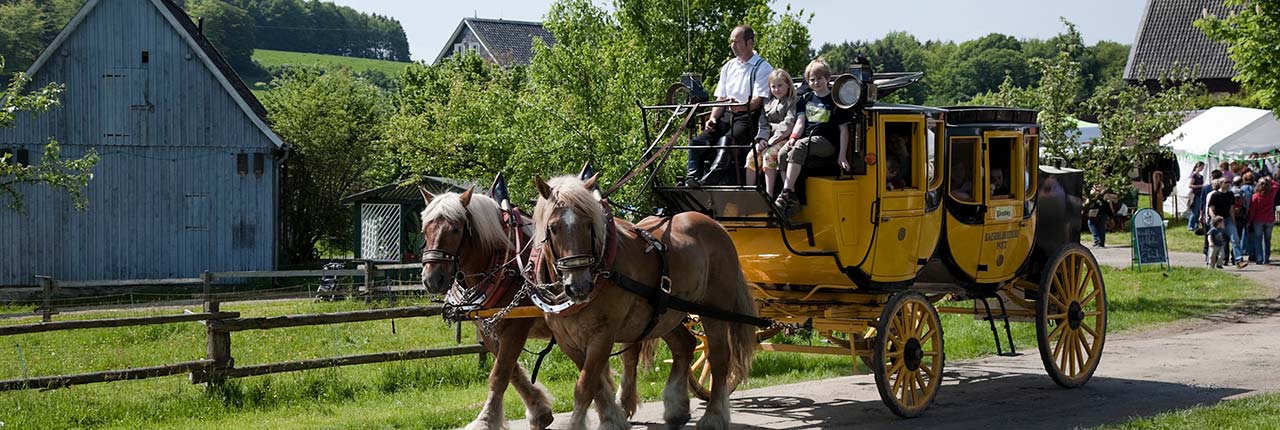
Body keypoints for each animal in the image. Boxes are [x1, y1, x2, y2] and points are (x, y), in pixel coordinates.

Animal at [419, 186, 650, 427]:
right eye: (425, 229)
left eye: (455, 229)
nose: (432, 279)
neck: (505, 261)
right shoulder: (488, 330)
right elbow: (511, 371)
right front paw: (539, 412)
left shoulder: (516, 328)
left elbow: (499, 374)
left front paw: (485, 420)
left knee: (629, 355)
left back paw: (624, 402)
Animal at [532, 174, 757, 430]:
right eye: (553, 228)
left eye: (589, 224)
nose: (579, 287)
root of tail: (716, 226)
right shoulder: (567, 341)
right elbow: (597, 385)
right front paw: (612, 418)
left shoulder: (602, 336)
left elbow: (585, 386)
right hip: (667, 312)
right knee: (685, 345)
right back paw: (676, 408)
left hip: (714, 309)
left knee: (719, 357)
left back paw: (714, 416)